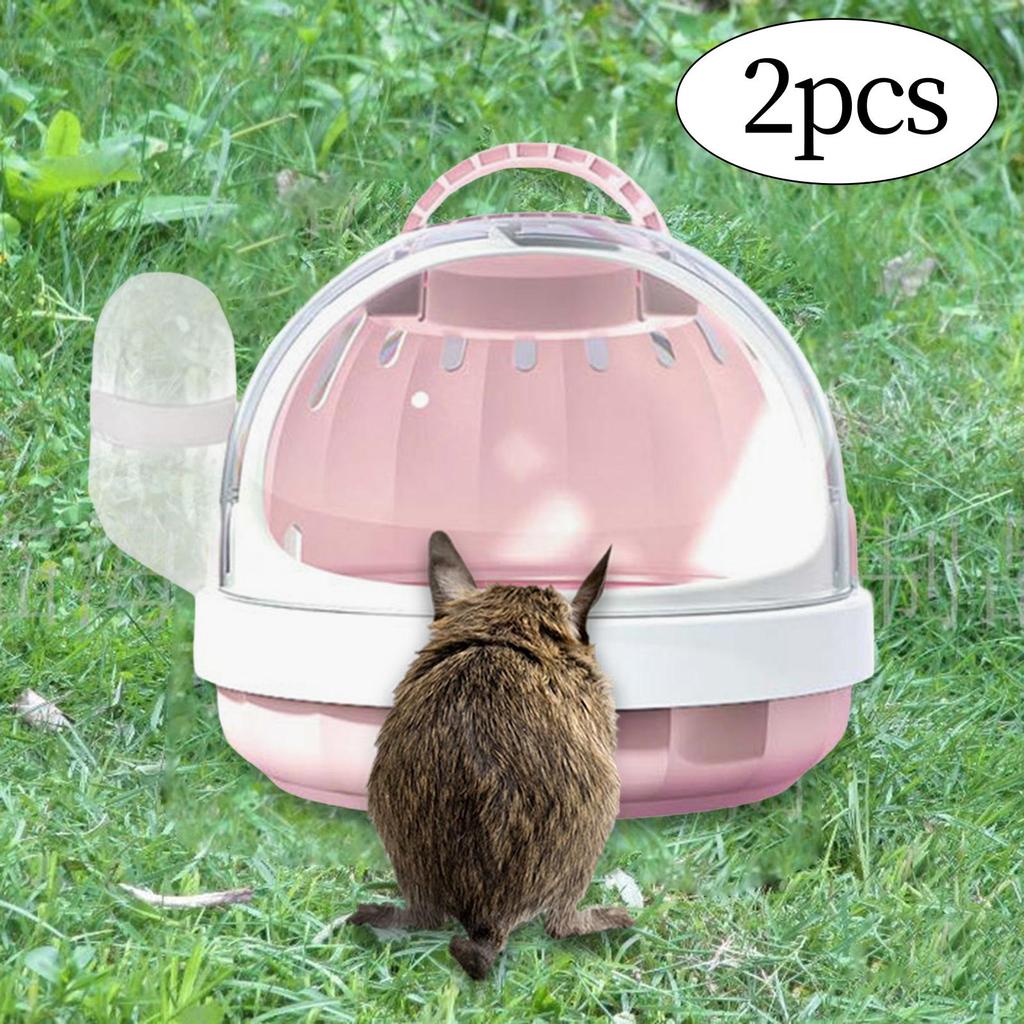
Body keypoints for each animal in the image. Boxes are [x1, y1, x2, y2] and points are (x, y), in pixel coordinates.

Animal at [348, 531, 632, 979]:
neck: (505, 629)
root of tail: (489, 920)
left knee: (422, 917)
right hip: (595, 828)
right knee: (559, 924)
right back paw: (616, 918)